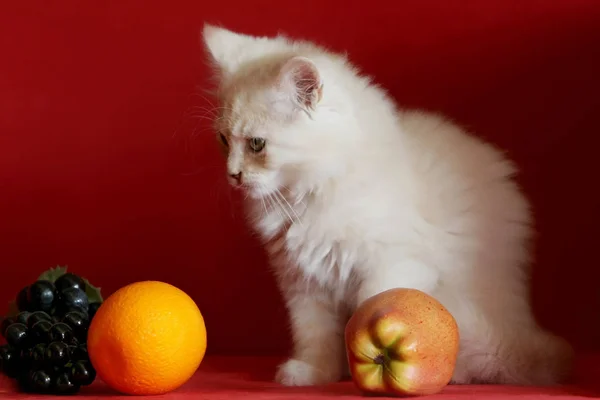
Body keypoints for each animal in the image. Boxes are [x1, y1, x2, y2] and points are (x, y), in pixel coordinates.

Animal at [200, 23, 572, 386]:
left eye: (256, 144)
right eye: (223, 140)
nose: (233, 174)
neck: (309, 192)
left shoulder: (391, 265)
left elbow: (368, 319)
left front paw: (371, 371)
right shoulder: (304, 284)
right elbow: (316, 337)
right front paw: (314, 374)